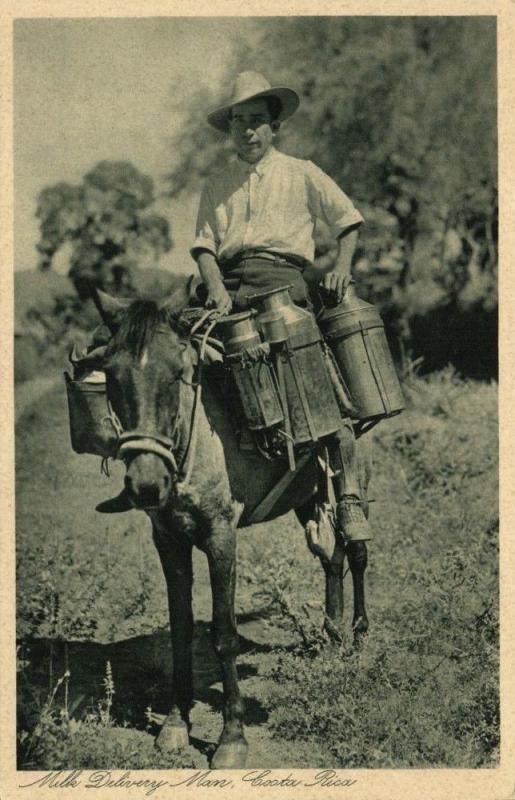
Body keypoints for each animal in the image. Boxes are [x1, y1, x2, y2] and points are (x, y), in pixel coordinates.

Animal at [83, 280, 370, 768]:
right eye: (113, 377)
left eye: (177, 373)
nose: (146, 485)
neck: (192, 444)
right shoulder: (168, 541)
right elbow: (181, 630)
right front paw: (176, 724)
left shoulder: (221, 537)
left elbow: (224, 634)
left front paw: (231, 738)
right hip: (305, 491)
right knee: (329, 553)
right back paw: (330, 637)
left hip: (346, 462)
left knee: (356, 546)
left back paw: (359, 634)